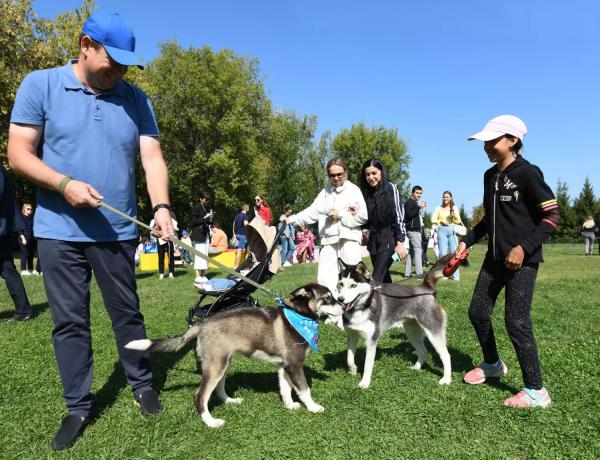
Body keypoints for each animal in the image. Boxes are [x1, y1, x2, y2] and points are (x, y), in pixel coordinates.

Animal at [126, 282, 342, 430]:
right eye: (328, 298)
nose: (345, 304)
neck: (299, 316)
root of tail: (201, 324)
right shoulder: (294, 364)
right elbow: (304, 389)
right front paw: (314, 407)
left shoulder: (284, 365)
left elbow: (286, 389)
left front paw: (289, 406)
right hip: (216, 365)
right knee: (200, 395)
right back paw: (211, 422)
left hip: (223, 362)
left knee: (218, 388)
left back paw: (230, 401)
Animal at [338, 253, 454, 390]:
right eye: (341, 284)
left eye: (354, 285)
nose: (340, 299)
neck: (360, 309)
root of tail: (425, 288)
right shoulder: (352, 336)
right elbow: (349, 359)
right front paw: (352, 370)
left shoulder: (372, 341)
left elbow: (367, 365)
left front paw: (365, 383)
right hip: (411, 333)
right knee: (423, 351)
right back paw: (416, 368)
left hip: (433, 333)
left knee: (446, 355)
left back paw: (446, 379)